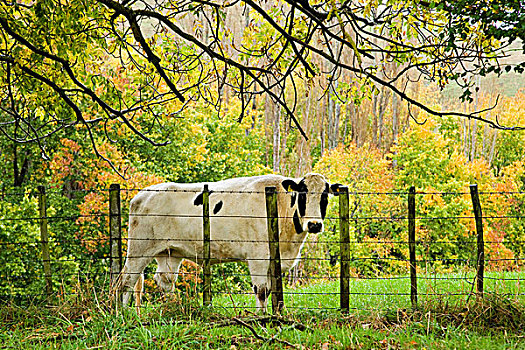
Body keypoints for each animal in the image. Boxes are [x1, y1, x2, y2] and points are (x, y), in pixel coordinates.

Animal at [116, 174, 342, 310]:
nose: (314, 224)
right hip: (140, 247)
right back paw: (124, 313)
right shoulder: (258, 256)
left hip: (170, 252)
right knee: (126, 280)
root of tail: (141, 194)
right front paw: (262, 318)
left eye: (325, 197)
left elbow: (271, 290)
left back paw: (174, 308)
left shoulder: (274, 260)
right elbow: (261, 291)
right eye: (302, 195)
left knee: (164, 280)